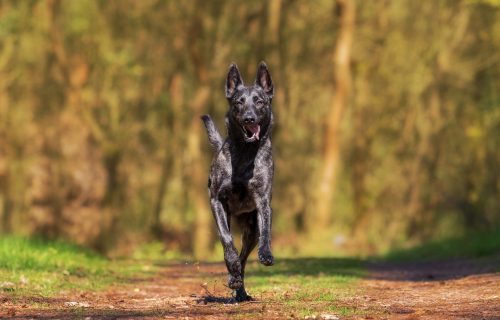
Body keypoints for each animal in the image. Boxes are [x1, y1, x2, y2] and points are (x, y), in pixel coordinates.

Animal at [201, 61, 276, 302]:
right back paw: (234, 279)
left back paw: (240, 290)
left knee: (245, 257)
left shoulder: (263, 202)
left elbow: (266, 231)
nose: (249, 118)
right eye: (239, 102)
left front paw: (266, 254)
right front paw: (231, 267)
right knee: (234, 253)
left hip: (251, 230)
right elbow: (227, 241)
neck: (245, 152)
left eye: (259, 101)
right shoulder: (217, 201)